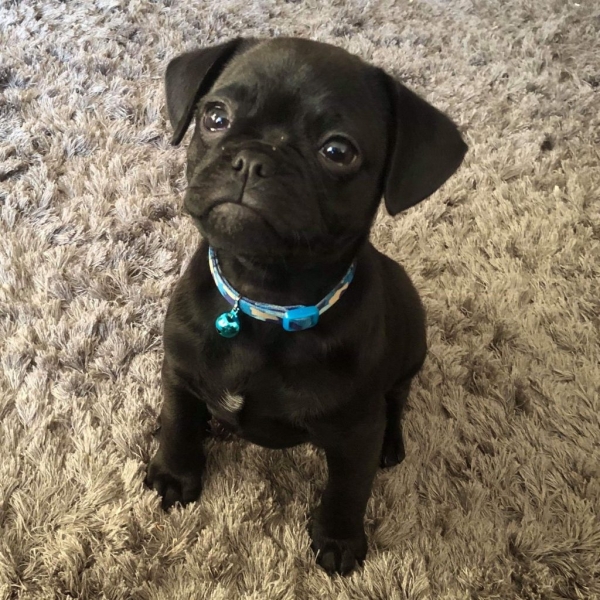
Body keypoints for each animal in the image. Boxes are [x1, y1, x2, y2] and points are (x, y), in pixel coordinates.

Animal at [145, 37, 467, 575]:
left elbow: (348, 488)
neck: (263, 299)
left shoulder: (354, 433)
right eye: (215, 116)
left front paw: (338, 540)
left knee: (397, 399)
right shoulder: (180, 373)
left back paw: (392, 442)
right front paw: (173, 473)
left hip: (410, 355)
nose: (252, 160)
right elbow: (178, 425)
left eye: (337, 151)